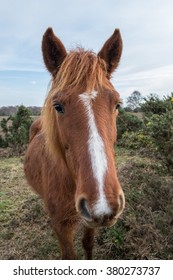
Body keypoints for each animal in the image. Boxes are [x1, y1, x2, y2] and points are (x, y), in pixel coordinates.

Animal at [24, 27, 124, 260]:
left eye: (117, 104)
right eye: (58, 106)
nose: (103, 202)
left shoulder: (90, 220)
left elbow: (88, 244)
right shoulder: (61, 227)